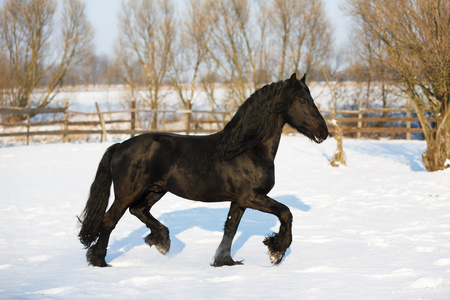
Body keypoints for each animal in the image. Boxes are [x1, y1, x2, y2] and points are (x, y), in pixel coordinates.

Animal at [78, 72, 326, 268]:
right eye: (302, 101)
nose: (323, 132)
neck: (248, 148)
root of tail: (120, 146)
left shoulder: (239, 200)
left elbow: (230, 228)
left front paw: (224, 261)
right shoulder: (251, 196)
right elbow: (285, 212)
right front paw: (276, 252)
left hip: (155, 190)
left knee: (138, 210)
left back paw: (161, 241)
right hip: (127, 193)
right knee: (109, 221)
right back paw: (99, 261)